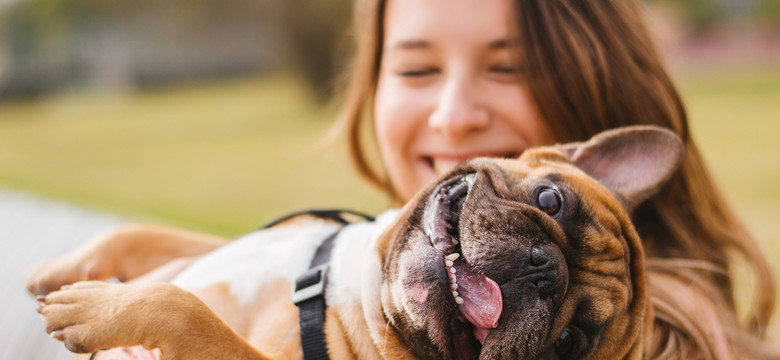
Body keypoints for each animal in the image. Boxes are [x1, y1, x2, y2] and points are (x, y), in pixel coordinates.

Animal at [25, 125, 684, 358]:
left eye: (568, 344)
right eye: (550, 201)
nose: (540, 267)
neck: (354, 292)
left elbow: (185, 310)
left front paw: (94, 309)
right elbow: (137, 232)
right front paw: (59, 272)